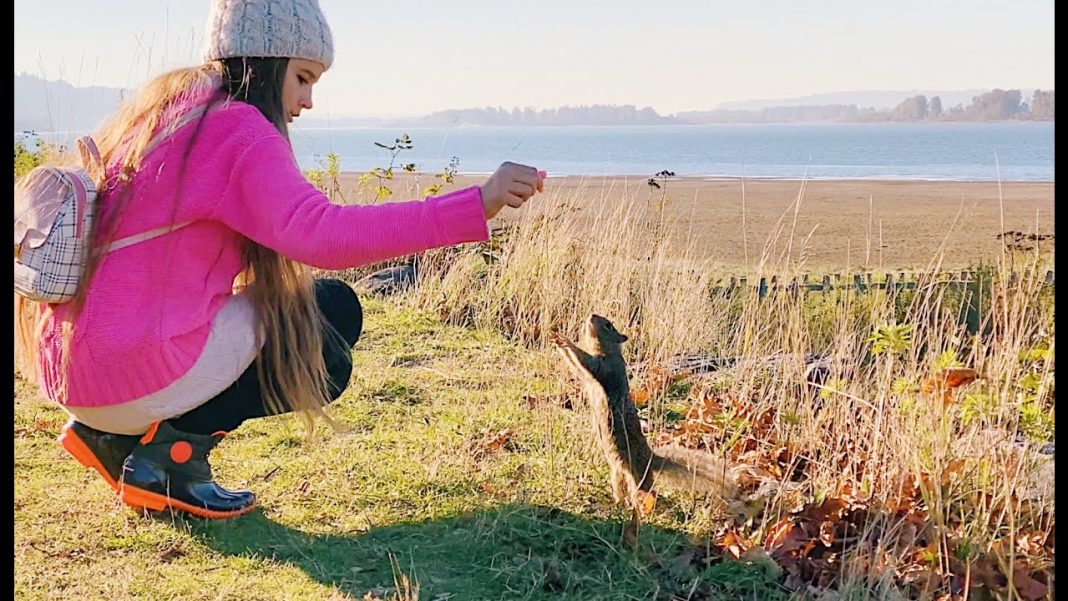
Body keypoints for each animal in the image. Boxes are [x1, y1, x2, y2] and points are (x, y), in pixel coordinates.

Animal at [551, 315, 734, 512]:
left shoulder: (605, 367)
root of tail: (651, 460)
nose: (591, 316)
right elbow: (576, 368)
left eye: (608, 325)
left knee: (645, 492)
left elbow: (584, 360)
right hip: (617, 473)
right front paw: (558, 340)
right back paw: (619, 504)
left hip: (638, 476)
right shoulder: (588, 376)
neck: (608, 349)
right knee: (621, 489)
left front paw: (567, 342)